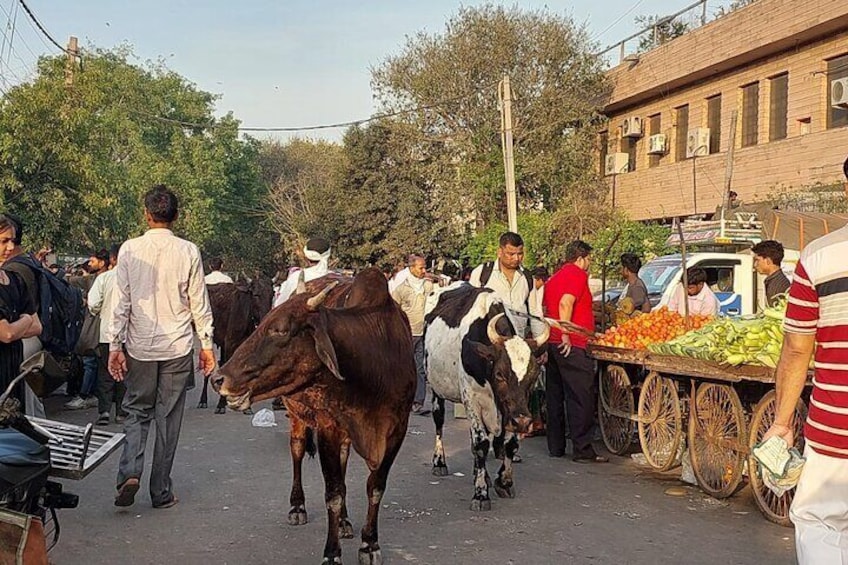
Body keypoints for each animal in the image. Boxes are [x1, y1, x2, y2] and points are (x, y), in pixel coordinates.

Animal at [210, 268, 412, 564]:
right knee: (297, 450)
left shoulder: (398, 430)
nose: (218, 378)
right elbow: (333, 493)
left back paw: (345, 522)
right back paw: (298, 507)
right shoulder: (328, 427)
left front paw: (369, 544)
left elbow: (375, 487)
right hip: (298, 417)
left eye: (281, 329)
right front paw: (332, 554)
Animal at [424, 284, 548, 508]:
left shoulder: (510, 410)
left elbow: (509, 443)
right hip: (437, 389)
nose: (524, 422)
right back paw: (439, 462)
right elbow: (480, 444)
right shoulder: (472, 398)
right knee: (439, 422)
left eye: (534, 374)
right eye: (499, 374)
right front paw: (480, 493)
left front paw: (504, 481)